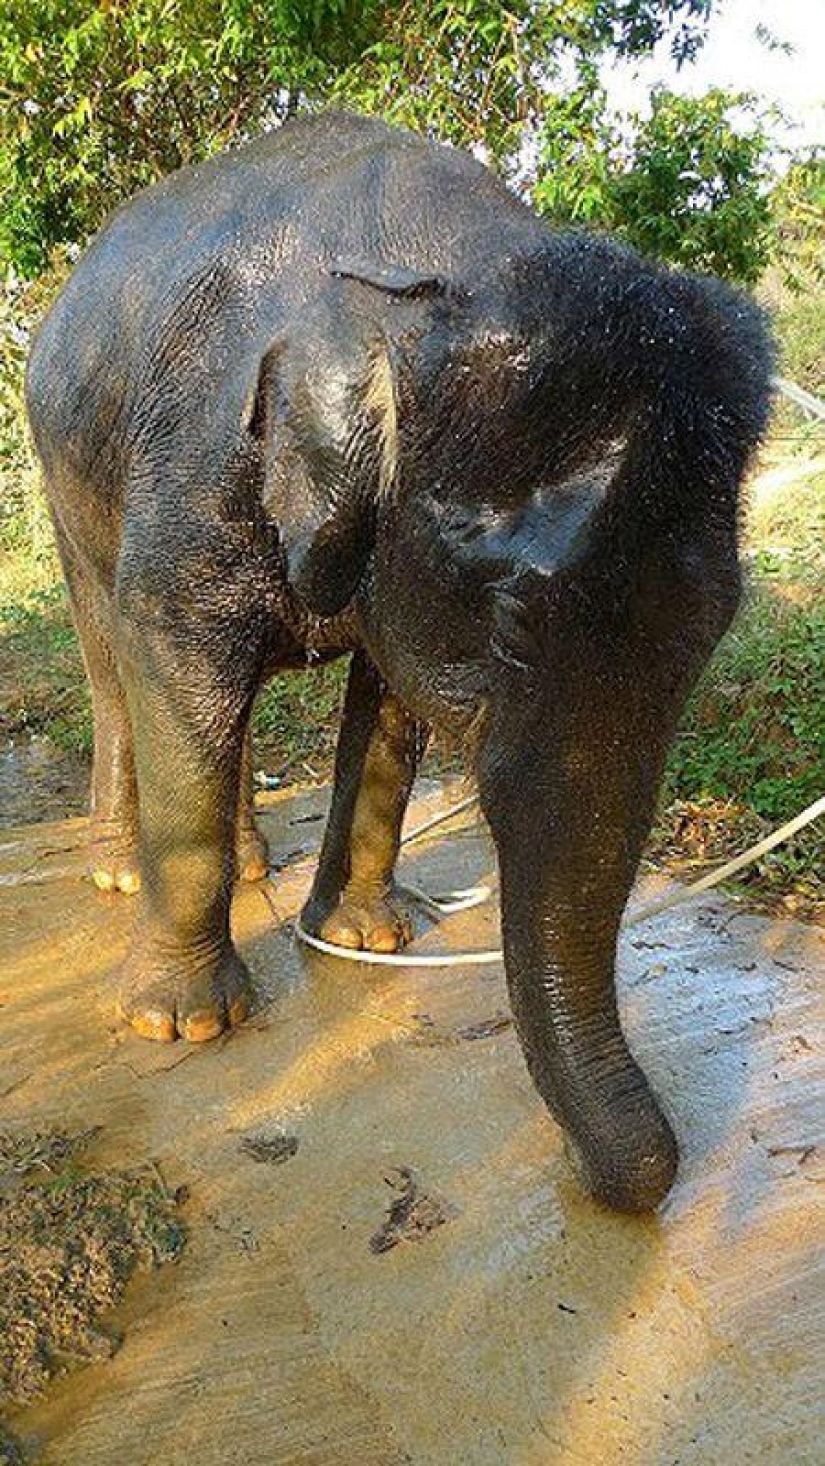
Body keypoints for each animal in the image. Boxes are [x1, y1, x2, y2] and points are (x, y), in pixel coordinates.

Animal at [26, 110, 773, 1212]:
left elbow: (386, 703)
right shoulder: (194, 459)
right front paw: (181, 1023)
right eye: (509, 625)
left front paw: (371, 940)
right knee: (116, 663)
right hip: (63, 473)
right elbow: (173, 650)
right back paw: (121, 872)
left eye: (718, 627)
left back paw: (257, 859)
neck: (429, 268)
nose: (634, 1181)